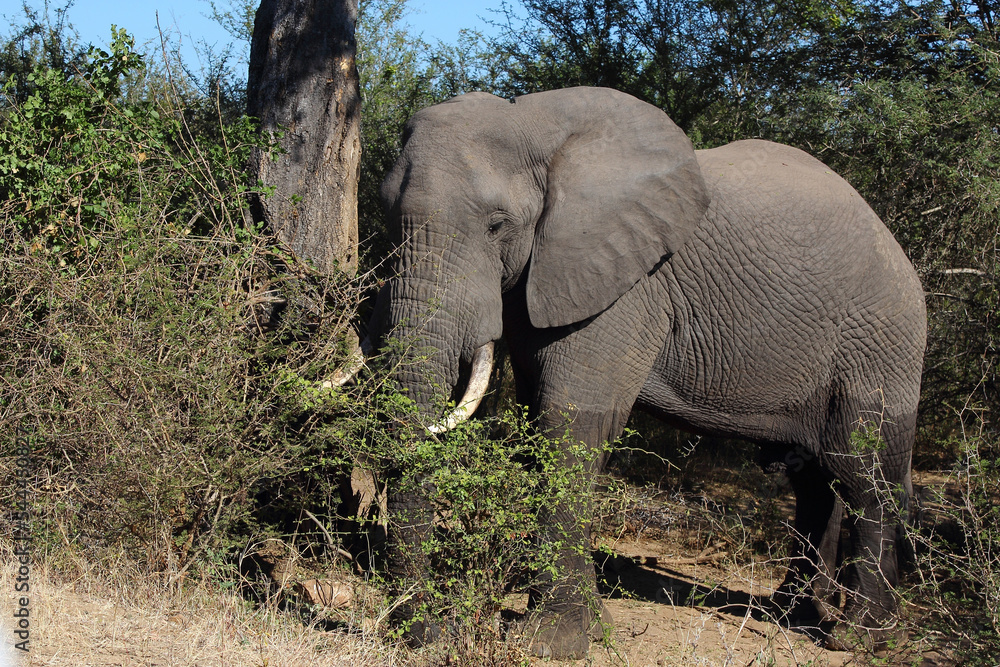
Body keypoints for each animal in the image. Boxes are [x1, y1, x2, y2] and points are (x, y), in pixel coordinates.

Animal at [365, 86, 927, 659]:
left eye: (497, 224)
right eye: (385, 214)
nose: (435, 633)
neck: (537, 124)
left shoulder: (627, 285)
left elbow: (568, 425)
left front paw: (554, 644)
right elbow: (535, 420)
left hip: (880, 343)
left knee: (864, 474)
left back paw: (860, 638)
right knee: (815, 481)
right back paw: (793, 615)